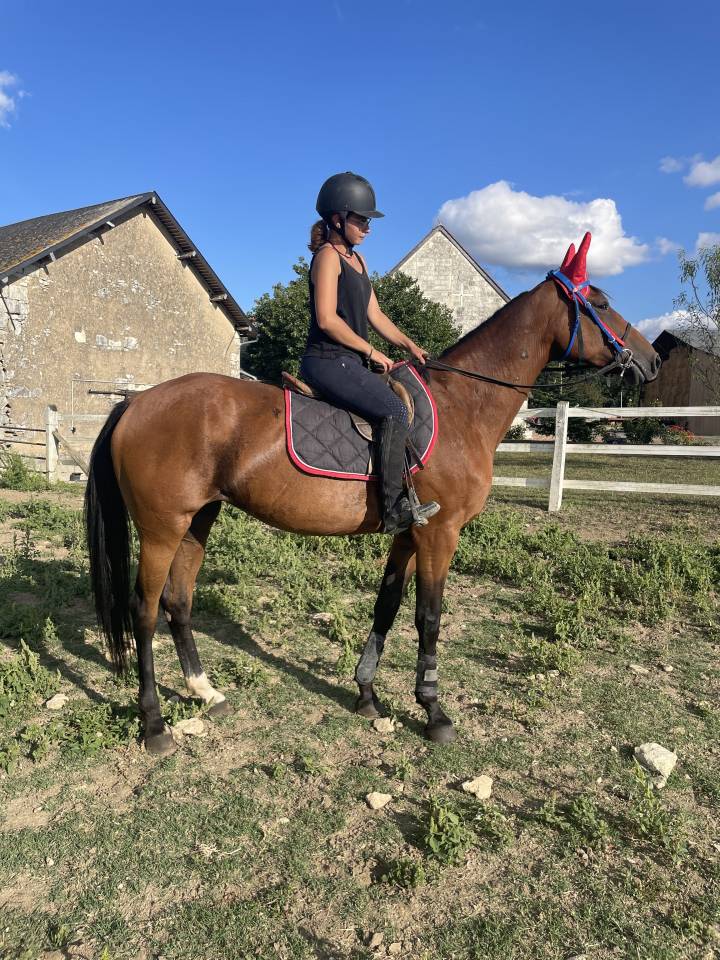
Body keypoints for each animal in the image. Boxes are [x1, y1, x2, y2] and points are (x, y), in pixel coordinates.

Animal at [85, 246, 661, 756]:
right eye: (600, 301)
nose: (652, 360)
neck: (462, 407)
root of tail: (137, 401)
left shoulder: (407, 532)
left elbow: (386, 607)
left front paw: (366, 693)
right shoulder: (439, 533)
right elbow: (428, 617)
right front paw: (434, 712)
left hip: (198, 520)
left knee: (177, 602)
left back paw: (205, 692)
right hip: (161, 527)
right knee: (143, 610)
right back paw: (154, 724)